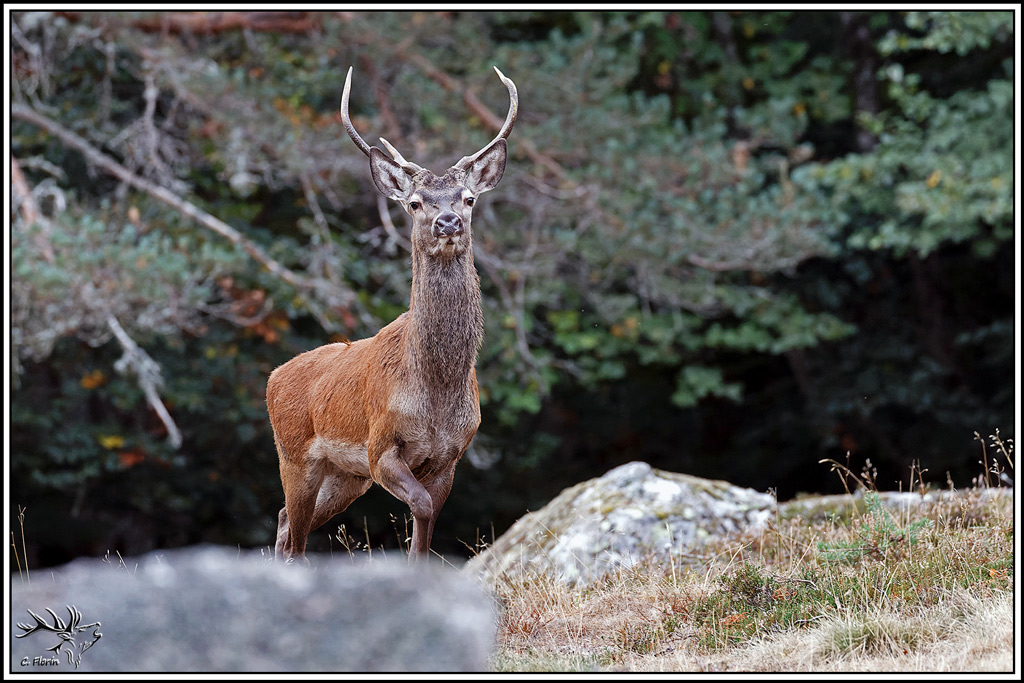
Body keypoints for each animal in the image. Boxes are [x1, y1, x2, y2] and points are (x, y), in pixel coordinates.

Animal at [267, 66, 517, 562]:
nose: (447, 222)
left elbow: (425, 526)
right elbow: (419, 506)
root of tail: (271, 378)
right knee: (294, 532)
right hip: (296, 455)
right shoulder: (380, 446)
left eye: (468, 198)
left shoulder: (450, 456)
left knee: (286, 521)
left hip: (345, 476)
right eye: (416, 202)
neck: (435, 391)